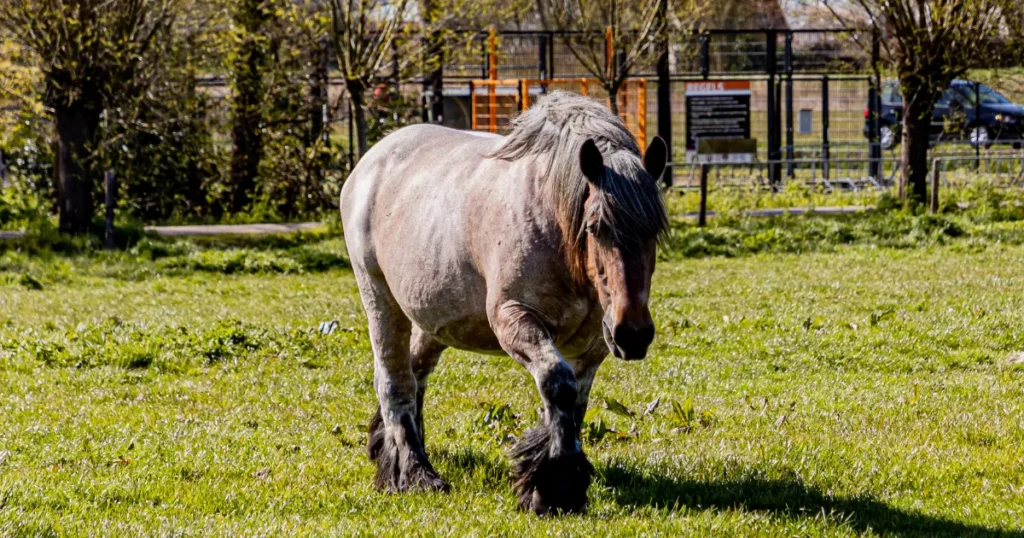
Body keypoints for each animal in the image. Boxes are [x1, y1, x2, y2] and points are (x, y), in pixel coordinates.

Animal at [339, 91, 667, 512]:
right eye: (596, 227)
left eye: (654, 230)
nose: (632, 334)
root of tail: (371, 161)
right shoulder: (515, 320)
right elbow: (557, 383)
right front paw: (556, 485)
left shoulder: (591, 346)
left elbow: (573, 402)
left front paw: (550, 475)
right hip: (380, 300)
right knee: (394, 383)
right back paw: (416, 474)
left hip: (435, 321)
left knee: (415, 374)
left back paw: (389, 449)